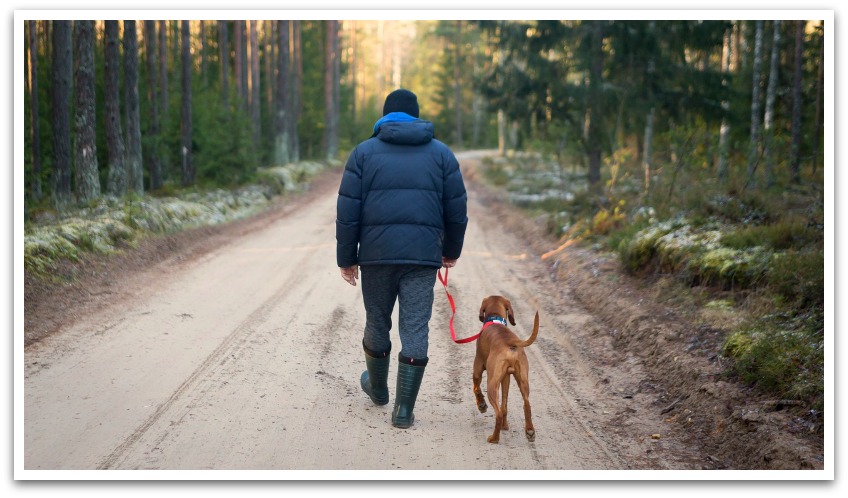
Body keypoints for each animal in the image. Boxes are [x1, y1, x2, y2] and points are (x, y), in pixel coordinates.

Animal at [474, 296, 540, 444]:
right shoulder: (506, 378)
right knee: (525, 404)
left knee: (498, 413)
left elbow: (476, 388)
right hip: (522, 380)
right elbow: (505, 404)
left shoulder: (478, 367)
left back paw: (494, 438)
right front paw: (506, 426)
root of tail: (511, 342)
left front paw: (481, 405)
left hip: (492, 384)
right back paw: (530, 431)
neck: (495, 318)